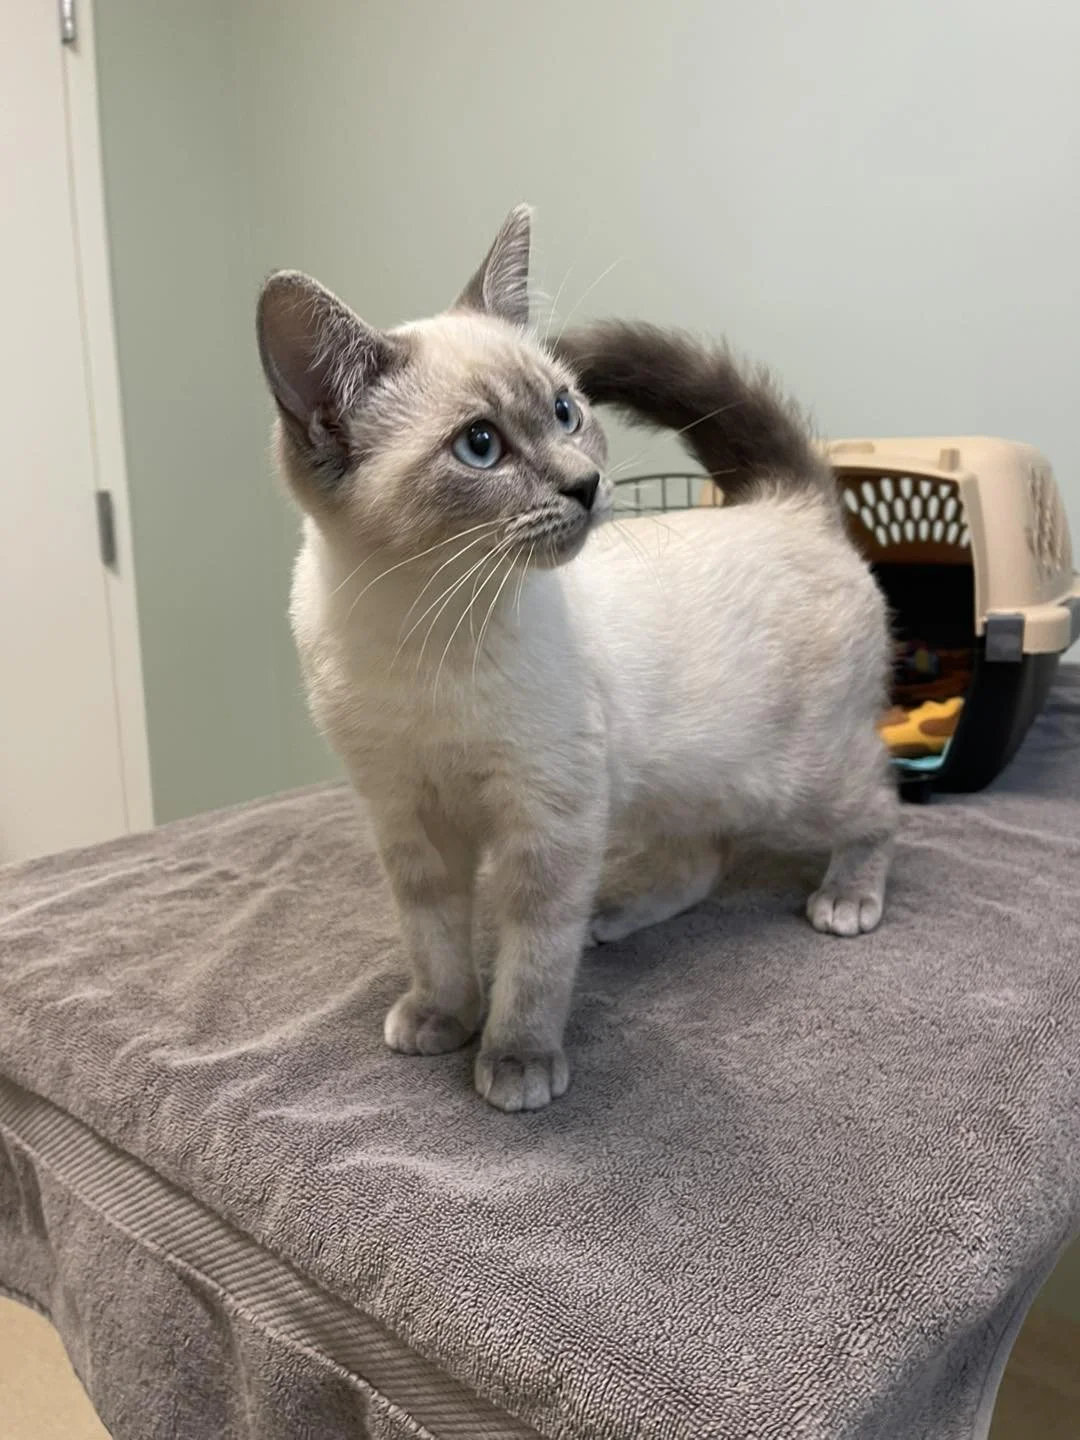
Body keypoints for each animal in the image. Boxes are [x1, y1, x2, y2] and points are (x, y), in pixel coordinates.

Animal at [255, 204, 896, 1112]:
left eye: (565, 411)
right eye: (480, 445)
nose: (586, 485)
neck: (425, 631)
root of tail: (788, 499)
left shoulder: (547, 823)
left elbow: (533, 958)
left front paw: (515, 1061)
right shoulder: (406, 815)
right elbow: (433, 937)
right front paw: (439, 1018)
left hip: (791, 780)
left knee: (880, 803)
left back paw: (846, 898)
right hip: (671, 785)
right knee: (701, 860)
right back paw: (615, 914)